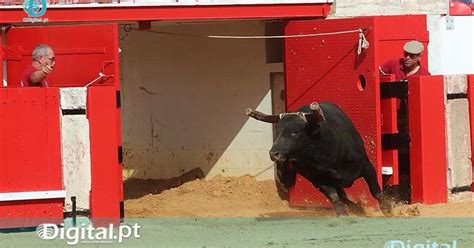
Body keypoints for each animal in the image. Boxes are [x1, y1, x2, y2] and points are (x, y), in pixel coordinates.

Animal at [246, 101, 390, 216]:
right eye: (277, 131)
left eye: (295, 132)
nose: (273, 153)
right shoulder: (318, 180)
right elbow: (333, 196)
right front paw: (342, 214)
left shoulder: (366, 166)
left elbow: (376, 191)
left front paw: (388, 209)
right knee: (342, 195)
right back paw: (357, 209)